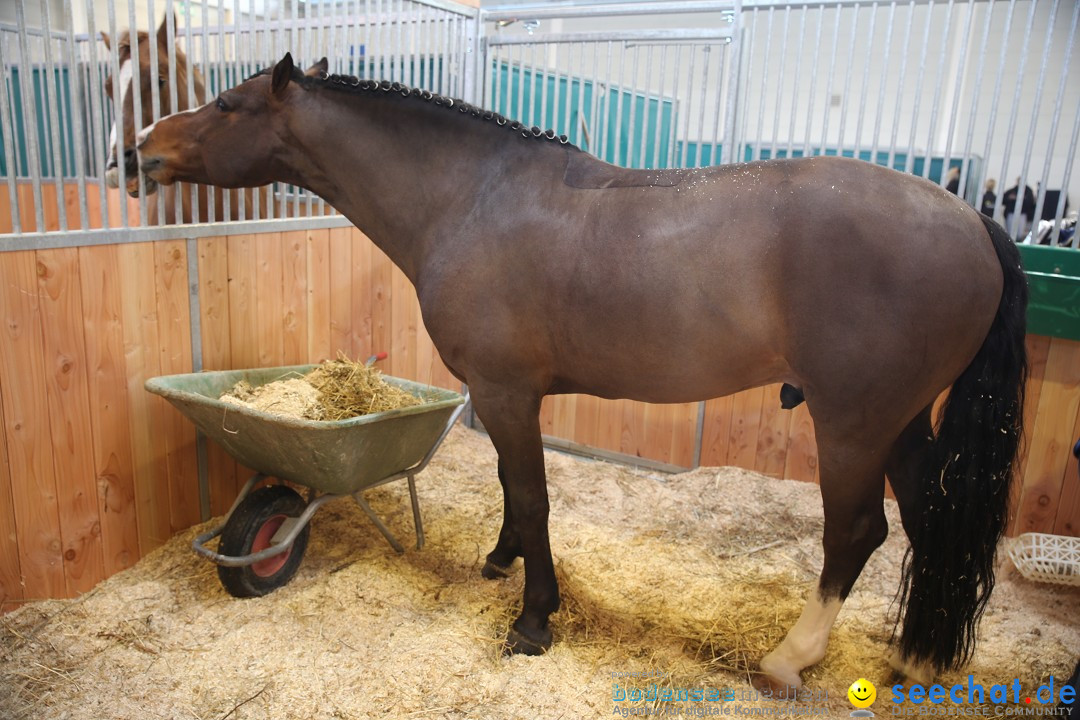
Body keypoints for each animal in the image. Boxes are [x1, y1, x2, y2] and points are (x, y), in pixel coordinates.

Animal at [137, 53, 1028, 690]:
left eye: (228, 104)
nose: (143, 147)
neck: (472, 197)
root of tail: (969, 217)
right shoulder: (502, 395)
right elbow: (509, 483)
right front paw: (501, 563)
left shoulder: (505, 390)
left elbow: (533, 497)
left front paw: (534, 621)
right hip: (902, 422)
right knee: (926, 520)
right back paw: (912, 657)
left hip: (852, 424)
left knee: (858, 532)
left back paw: (789, 658)